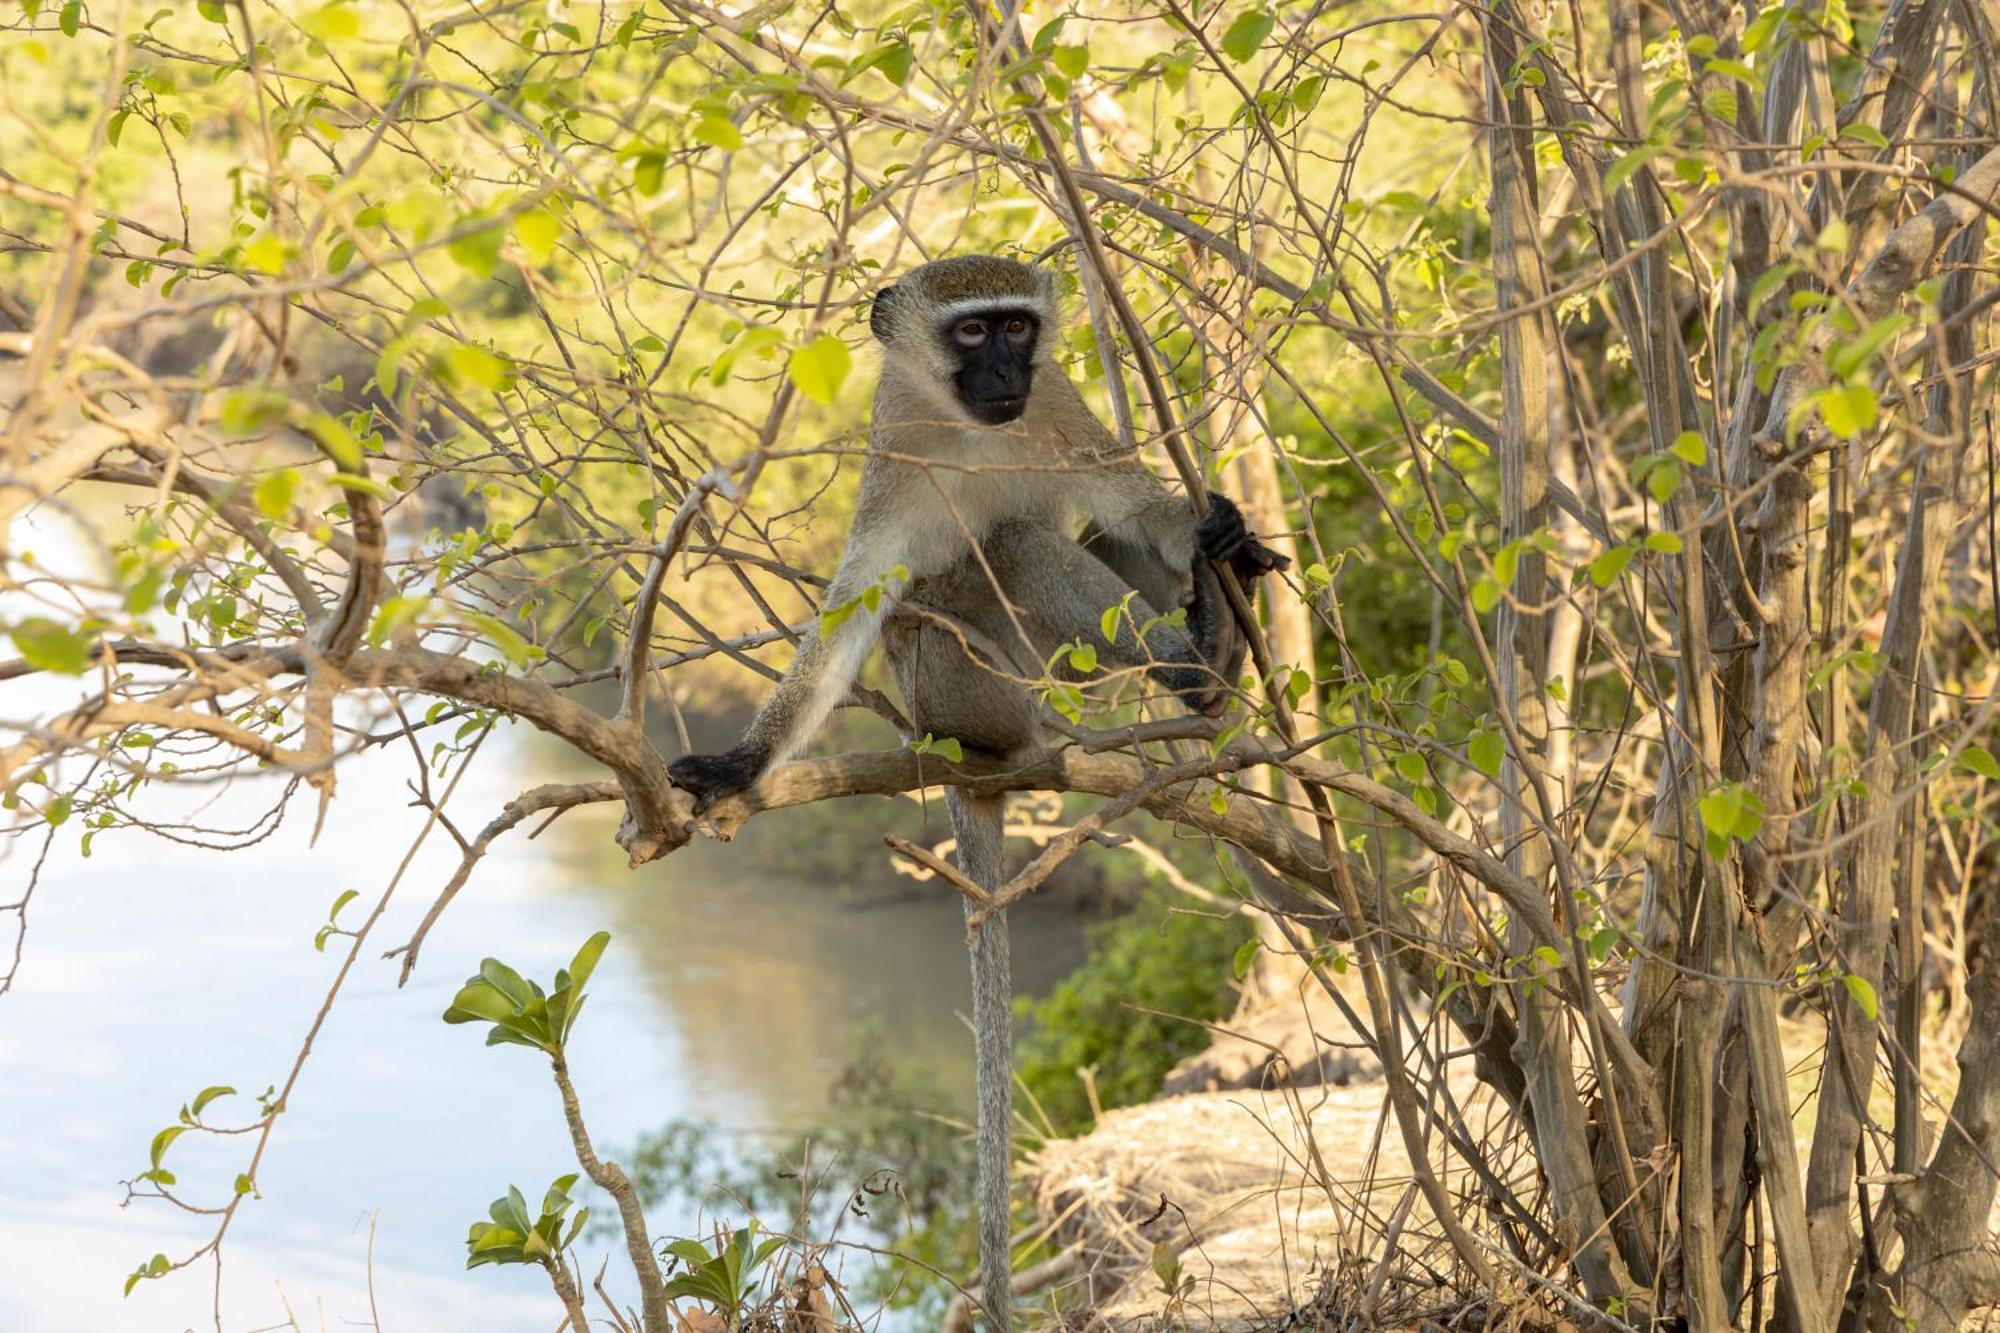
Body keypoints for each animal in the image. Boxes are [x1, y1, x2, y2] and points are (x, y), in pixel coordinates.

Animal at [664, 254, 1288, 1320]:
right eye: (968, 333)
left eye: (1015, 326)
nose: (1005, 372)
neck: (970, 426)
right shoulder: (895, 458)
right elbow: (855, 615)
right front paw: (741, 761)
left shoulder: (1060, 401)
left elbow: (1137, 508)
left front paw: (1229, 537)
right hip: (975, 688)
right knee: (1013, 558)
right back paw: (1196, 668)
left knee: (1092, 535)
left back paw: (1211, 637)